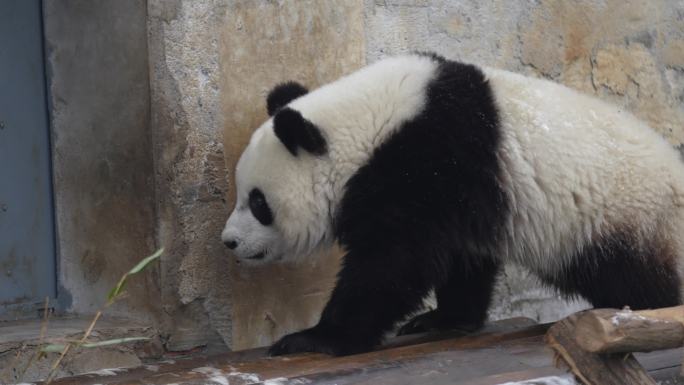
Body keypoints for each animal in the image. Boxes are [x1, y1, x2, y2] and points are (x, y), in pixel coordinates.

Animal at [220, 52, 684, 356]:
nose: (229, 242)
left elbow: (393, 262)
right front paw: (444, 318)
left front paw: (315, 338)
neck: (370, 125)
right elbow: (460, 257)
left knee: (637, 280)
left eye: (258, 202)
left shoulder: (427, 160)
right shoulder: (461, 192)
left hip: (627, 220)